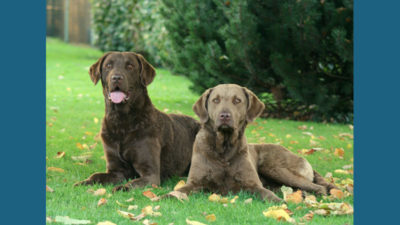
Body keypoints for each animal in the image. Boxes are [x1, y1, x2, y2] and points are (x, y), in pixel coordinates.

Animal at [74, 52, 199, 192]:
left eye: (130, 66)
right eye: (108, 65)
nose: (116, 78)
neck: (121, 122)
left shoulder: (151, 174)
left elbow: (132, 184)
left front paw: (120, 188)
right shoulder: (116, 171)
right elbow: (96, 176)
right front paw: (84, 182)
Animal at [177, 84, 336, 202]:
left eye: (237, 100)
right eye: (215, 100)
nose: (224, 116)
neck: (224, 148)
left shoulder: (253, 184)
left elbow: (268, 195)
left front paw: (281, 204)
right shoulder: (195, 183)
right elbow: (178, 192)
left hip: (274, 168)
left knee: (318, 187)